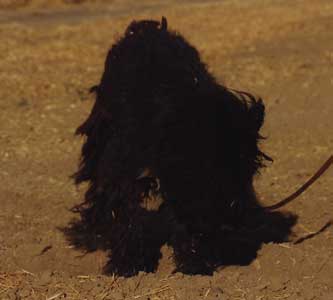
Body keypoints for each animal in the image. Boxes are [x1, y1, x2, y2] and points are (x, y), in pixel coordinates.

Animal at [73, 17, 274, 276]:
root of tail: (148, 28)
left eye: (250, 169)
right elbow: (127, 213)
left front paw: (195, 263)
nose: (237, 216)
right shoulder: (125, 169)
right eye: (220, 168)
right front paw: (128, 264)